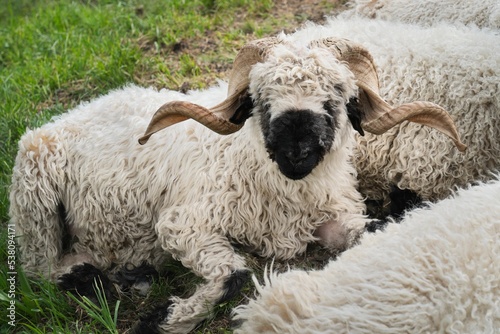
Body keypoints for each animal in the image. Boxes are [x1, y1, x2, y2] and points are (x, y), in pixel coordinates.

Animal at [8, 34, 464, 334]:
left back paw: (131, 274)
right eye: (260, 97)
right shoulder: (183, 223)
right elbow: (235, 276)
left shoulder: (329, 218)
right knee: (40, 270)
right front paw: (165, 321)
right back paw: (99, 279)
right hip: (35, 201)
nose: (295, 151)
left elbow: (378, 227)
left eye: (336, 94)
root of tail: (68, 114)